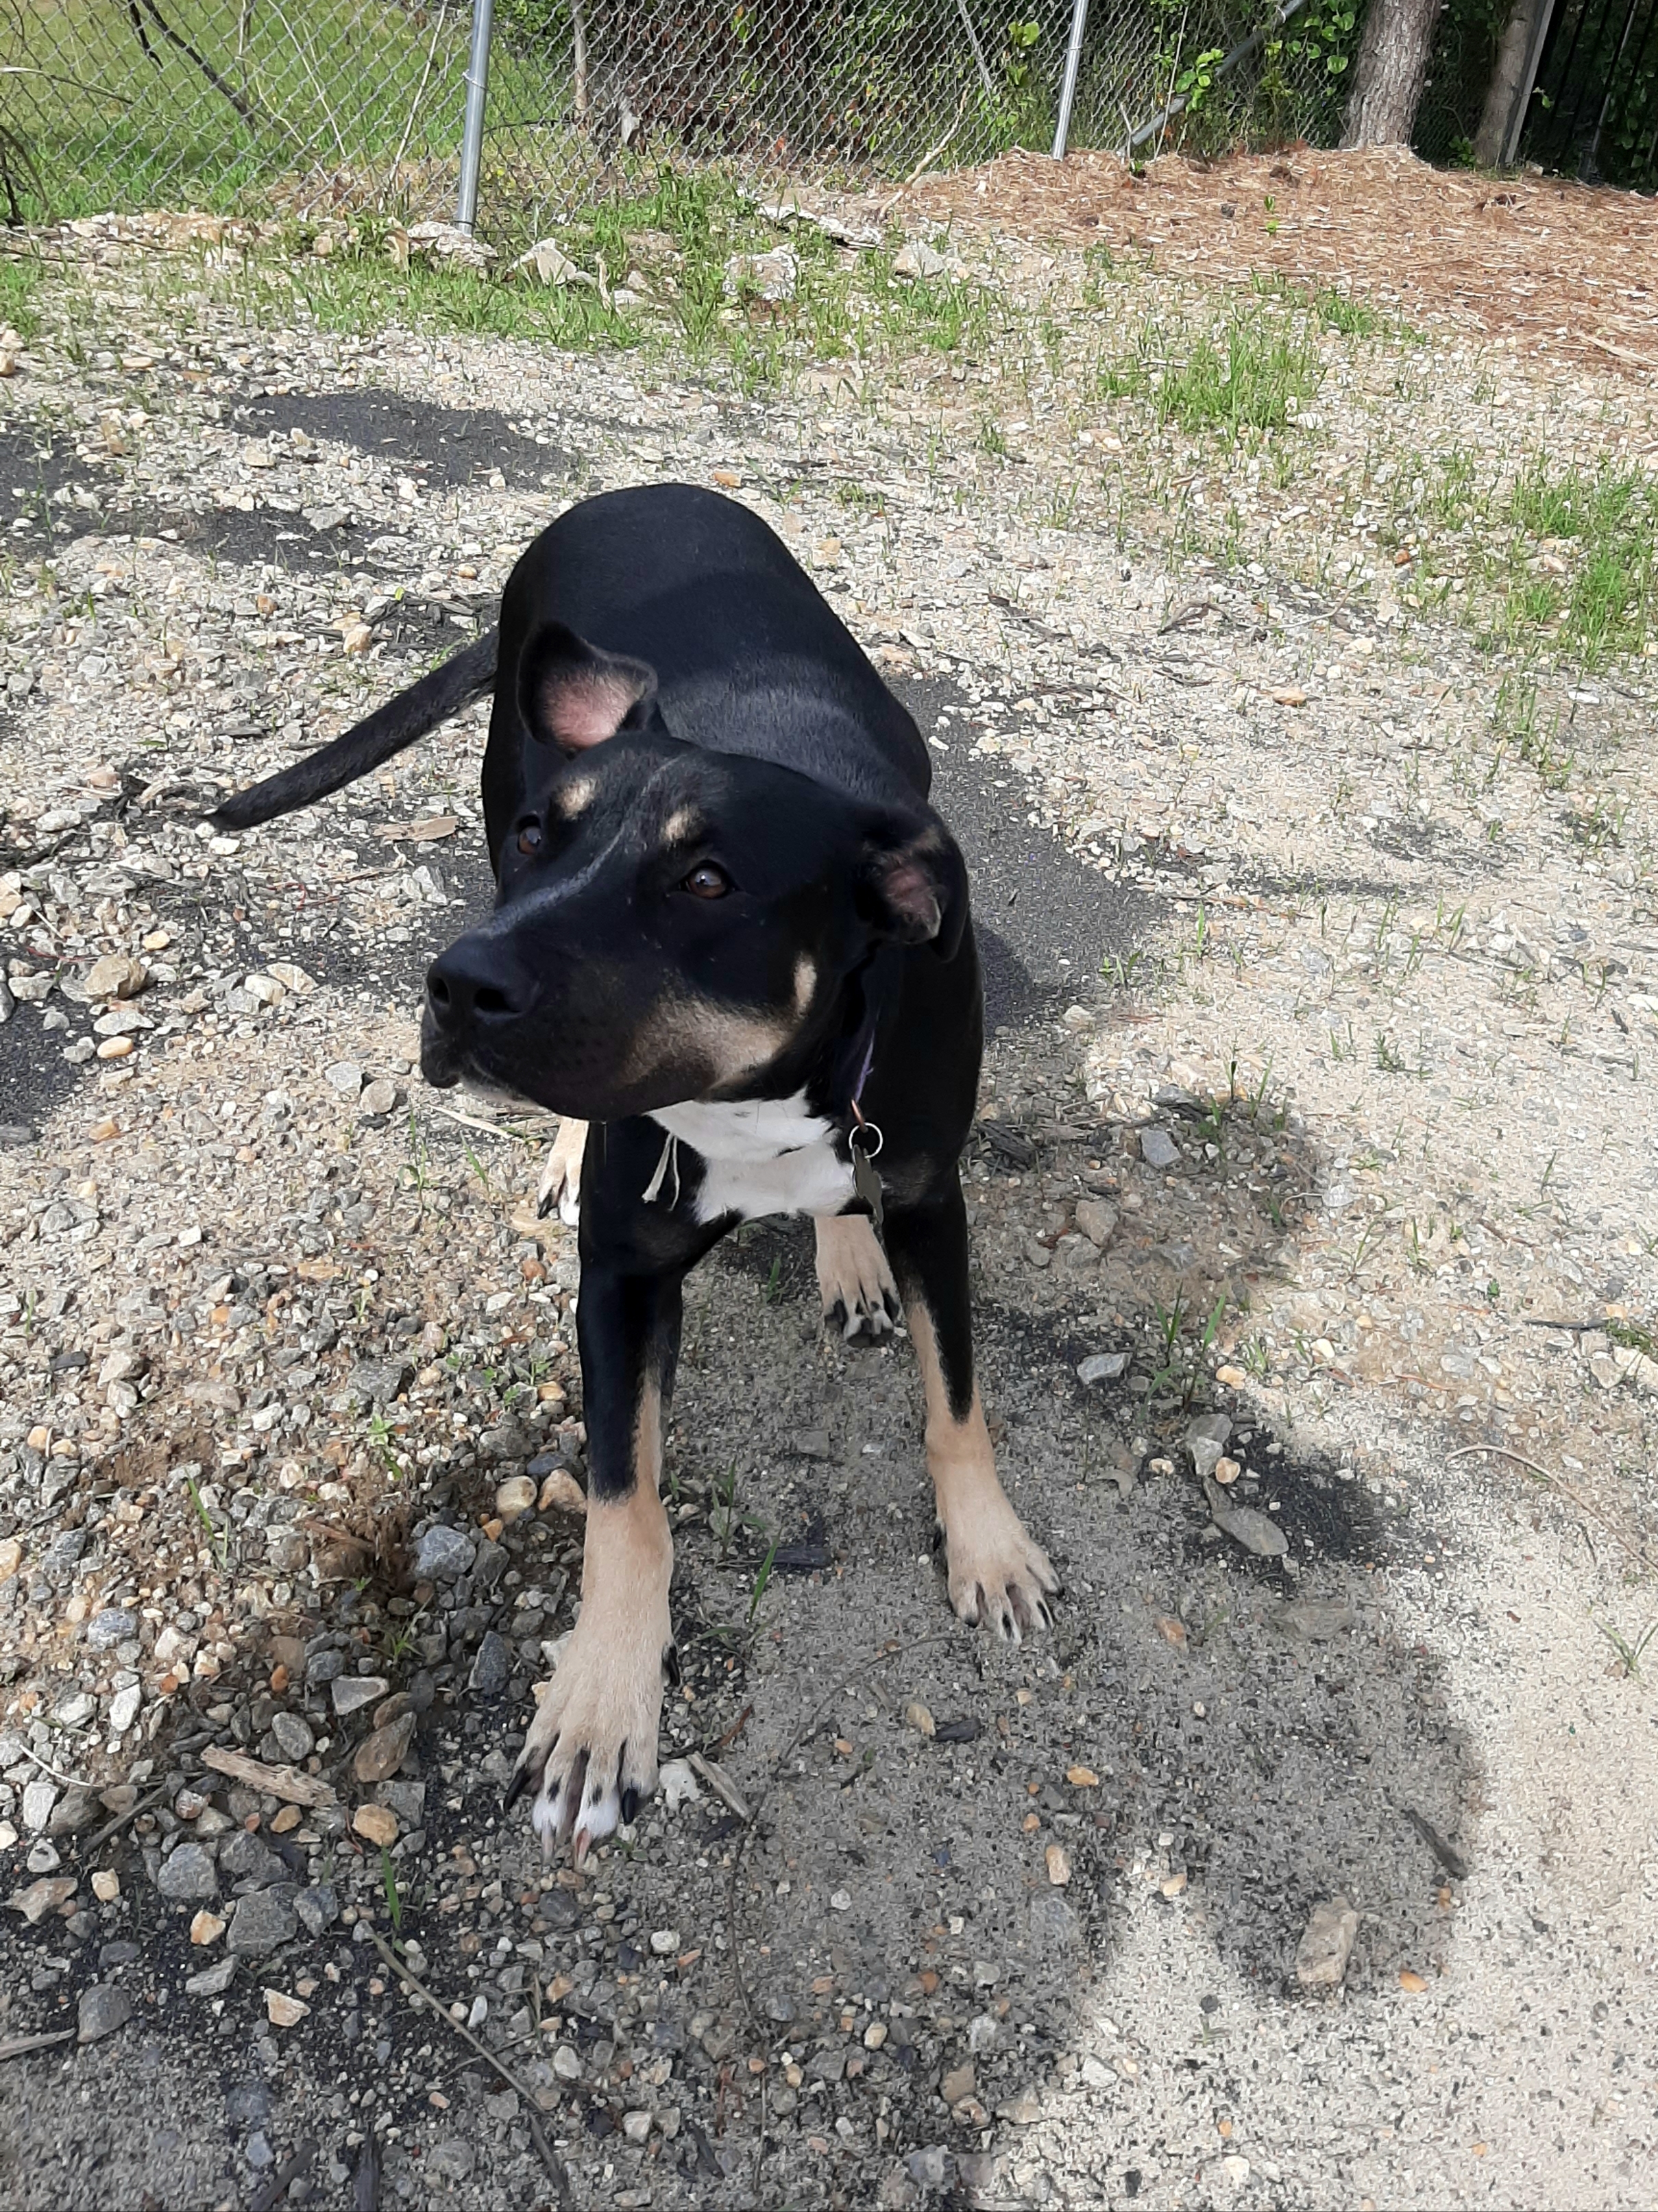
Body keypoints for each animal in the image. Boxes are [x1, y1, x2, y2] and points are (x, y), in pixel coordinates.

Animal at [217, 489, 1065, 1867]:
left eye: (706, 880)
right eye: (537, 839)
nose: (454, 986)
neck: (756, 1090)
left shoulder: (934, 1200)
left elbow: (957, 1403)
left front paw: (986, 1547)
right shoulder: (618, 1278)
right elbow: (623, 1500)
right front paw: (601, 1701)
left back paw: (844, 1248)